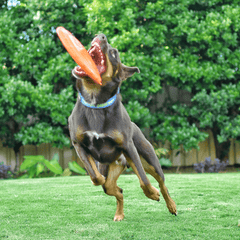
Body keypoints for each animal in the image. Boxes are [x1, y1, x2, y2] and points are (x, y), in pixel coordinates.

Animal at [68, 33, 177, 221]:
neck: (95, 100)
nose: (101, 35)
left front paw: (153, 193)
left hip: (148, 158)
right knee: (116, 190)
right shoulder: (79, 144)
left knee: (161, 182)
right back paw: (119, 213)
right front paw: (97, 178)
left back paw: (170, 204)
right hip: (111, 167)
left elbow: (144, 181)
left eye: (114, 53)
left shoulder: (128, 146)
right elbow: (95, 177)